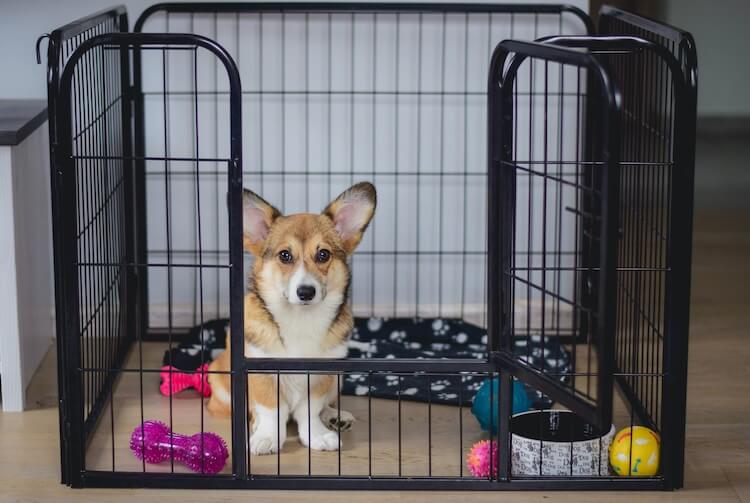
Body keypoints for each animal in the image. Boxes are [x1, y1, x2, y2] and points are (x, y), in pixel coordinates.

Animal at [207, 182, 376, 456]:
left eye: (323, 255)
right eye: (285, 255)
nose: (306, 292)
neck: (300, 320)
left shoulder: (321, 377)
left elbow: (311, 411)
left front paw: (318, 435)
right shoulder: (261, 373)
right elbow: (270, 410)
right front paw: (266, 438)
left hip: (338, 378)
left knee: (325, 406)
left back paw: (335, 416)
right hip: (221, 387)